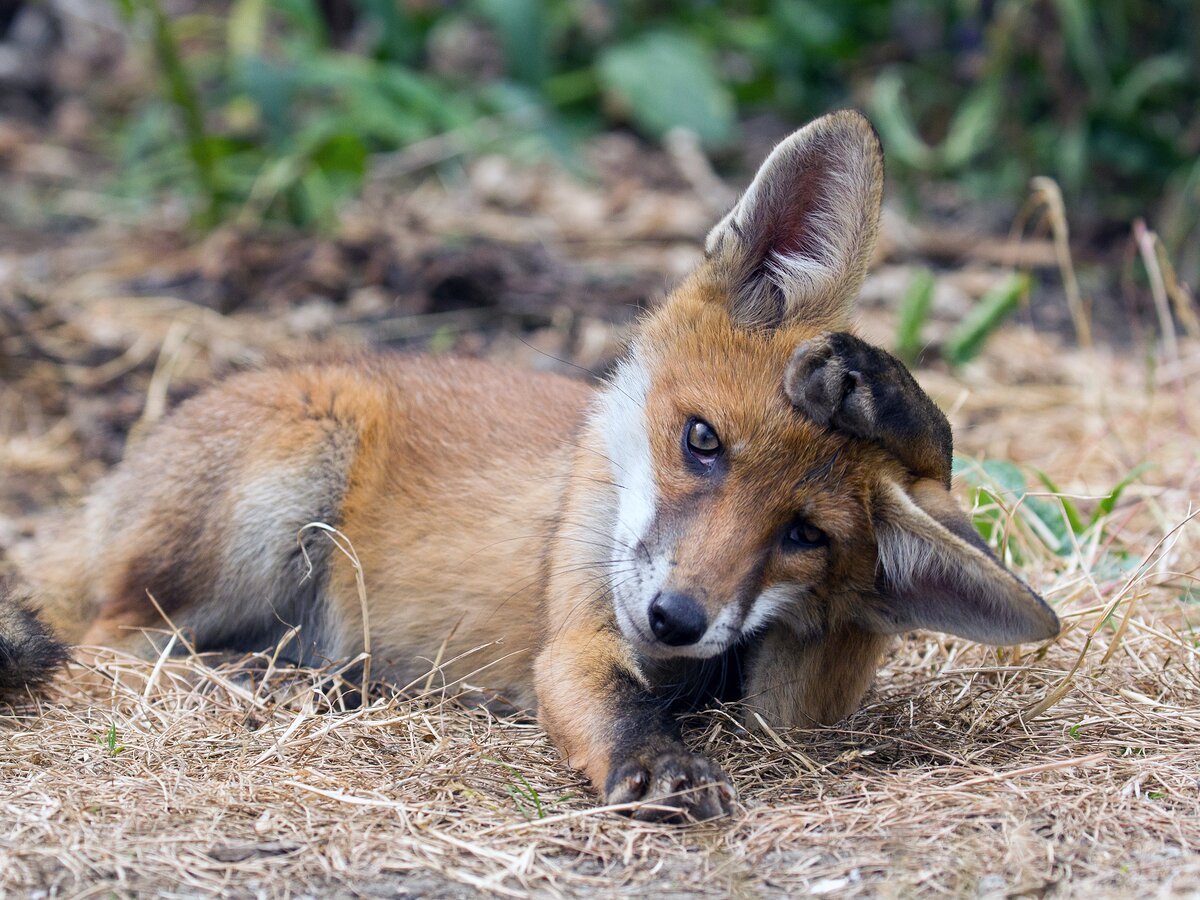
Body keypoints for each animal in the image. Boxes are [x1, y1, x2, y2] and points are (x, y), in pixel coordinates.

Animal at [0, 112, 1056, 825]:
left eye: (805, 535)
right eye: (701, 441)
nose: (677, 619)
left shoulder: (797, 700)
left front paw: (886, 397)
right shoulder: (578, 633)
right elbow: (619, 705)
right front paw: (662, 762)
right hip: (284, 480)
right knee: (111, 646)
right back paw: (266, 680)